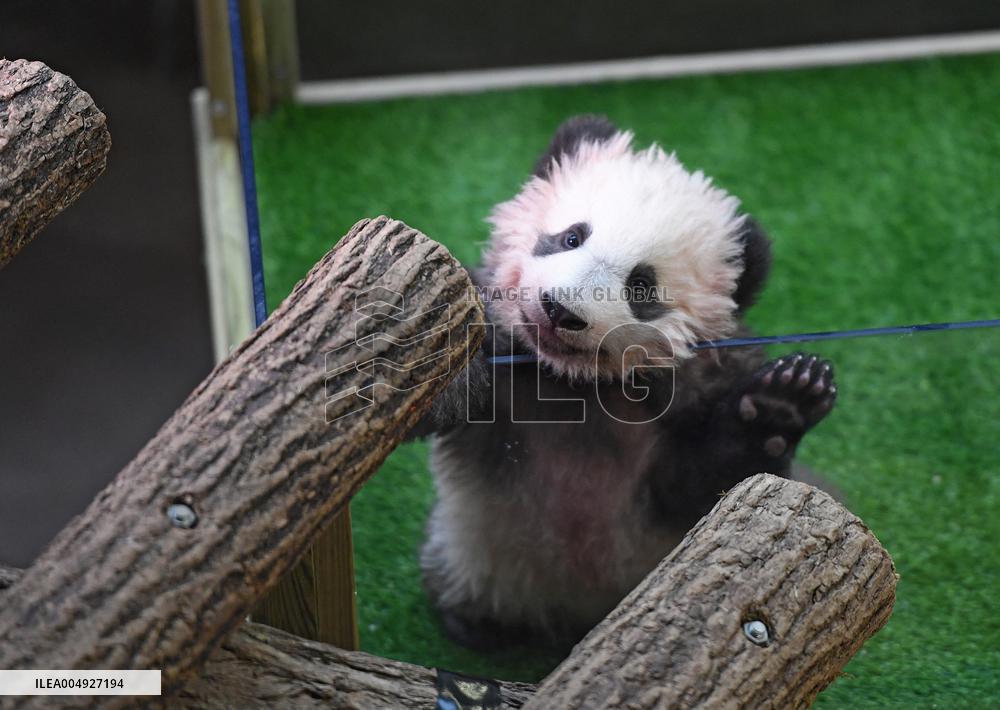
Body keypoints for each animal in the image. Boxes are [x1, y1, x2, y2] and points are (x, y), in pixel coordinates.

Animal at [409, 115, 837, 649]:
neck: (572, 383)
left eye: (641, 286)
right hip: (469, 553)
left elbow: (705, 482)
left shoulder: (688, 398)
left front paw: (782, 404)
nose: (560, 309)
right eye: (572, 237)